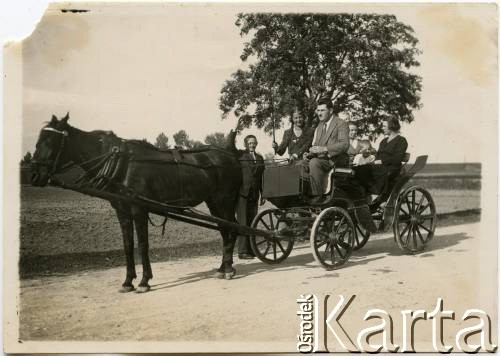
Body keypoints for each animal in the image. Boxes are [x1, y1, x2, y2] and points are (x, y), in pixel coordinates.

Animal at [30, 114, 242, 292]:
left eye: (51, 141)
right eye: (38, 141)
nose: (34, 176)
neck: (122, 164)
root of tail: (230, 155)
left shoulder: (139, 209)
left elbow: (142, 244)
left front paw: (144, 281)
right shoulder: (122, 211)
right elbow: (127, 245)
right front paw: (127, 281)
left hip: (224, 200)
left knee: (233, 228)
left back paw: (228, 268)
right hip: (213, 202)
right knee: (225, 229)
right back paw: (223, 267)